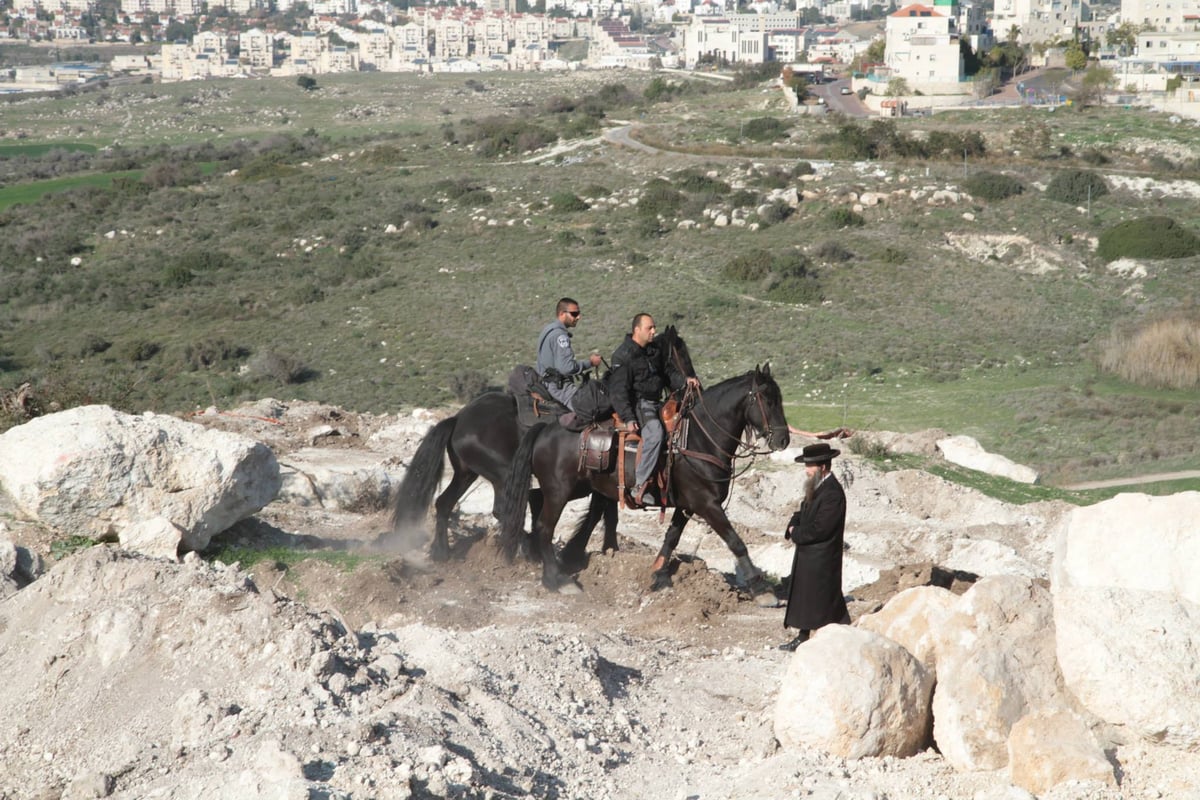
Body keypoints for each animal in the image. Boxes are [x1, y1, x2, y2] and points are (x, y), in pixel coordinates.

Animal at [492, 367, 792, 592]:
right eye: (767, 399)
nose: (783, 439)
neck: (697, 438)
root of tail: (545, 429)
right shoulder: (706, 504)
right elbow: (735, 540)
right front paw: (759, 586)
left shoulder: (687, 505)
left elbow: (671, 538)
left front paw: (658, 575)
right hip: (559, 492)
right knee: (544, 527)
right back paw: (556, 579)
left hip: (575, 488)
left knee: (536, 503)